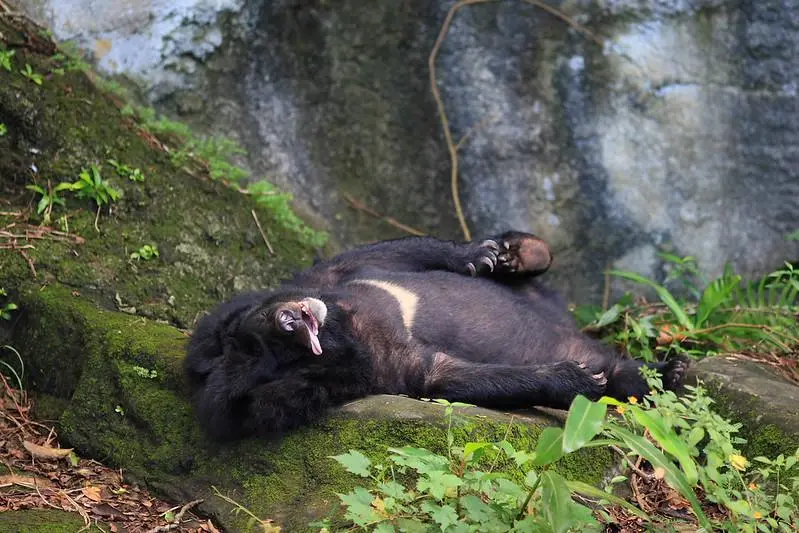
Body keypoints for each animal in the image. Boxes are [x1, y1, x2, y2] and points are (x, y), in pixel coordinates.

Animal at [184, 231, 687, 440]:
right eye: (272, 358)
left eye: (251, 333)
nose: (290, 319)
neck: (346, 328)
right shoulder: (388, 368)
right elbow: (448, 376)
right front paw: (575, 379)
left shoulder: (331, 278)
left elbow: (386, 253)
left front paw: (483, 255)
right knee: (625, 376)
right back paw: (664, 371)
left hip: (540, 294)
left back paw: (516, 252)